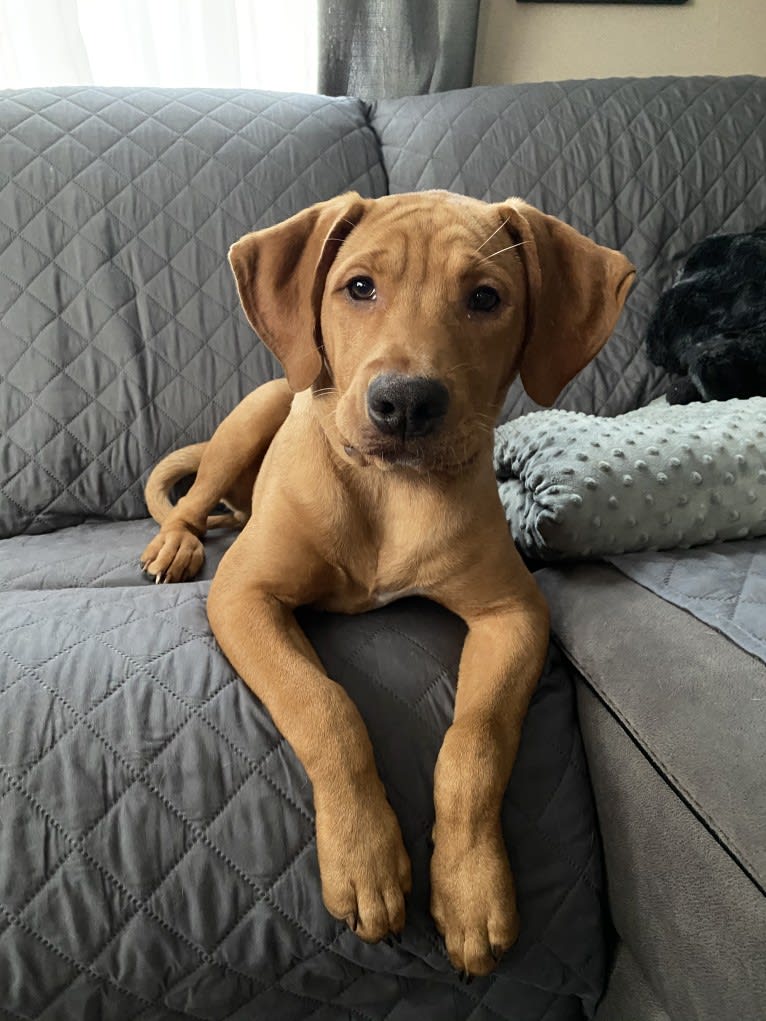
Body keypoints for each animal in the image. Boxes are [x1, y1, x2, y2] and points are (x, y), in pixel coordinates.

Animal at [139, 189, 637, 971]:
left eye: (485, 298)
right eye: (359, 287)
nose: (404, 403)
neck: (388, 492)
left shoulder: (515, 612)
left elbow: (477, 740)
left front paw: (470, 886)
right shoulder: (244, 594)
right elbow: (325, 706)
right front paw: (363, 858)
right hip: (257, 411)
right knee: (194, 499)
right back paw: (176, 544)